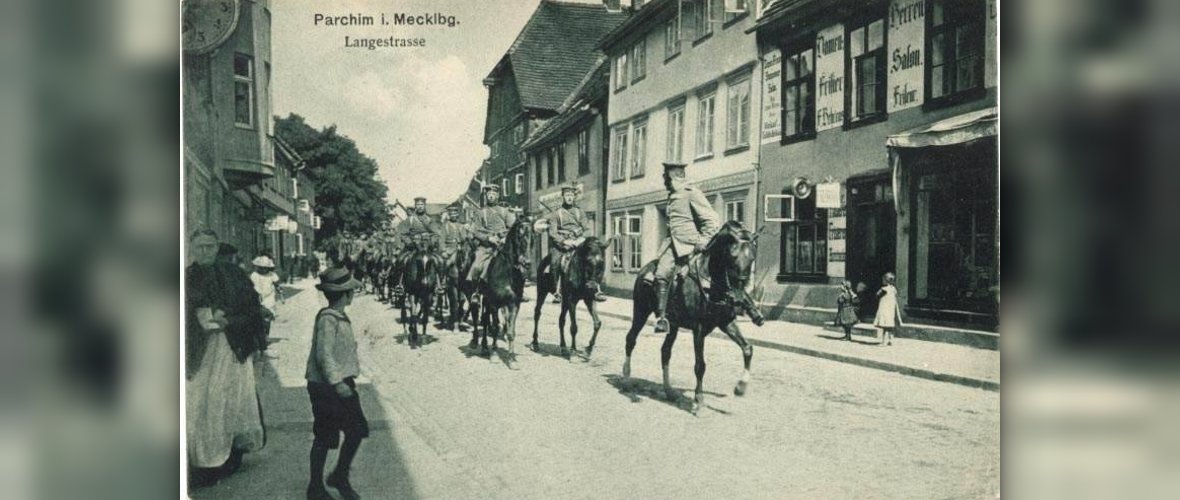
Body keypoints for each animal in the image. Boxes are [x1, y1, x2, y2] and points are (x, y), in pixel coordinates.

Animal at [474, 219, 535, 363]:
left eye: (533, 238)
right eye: (519, 236)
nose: (527, 262)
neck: (507, 273)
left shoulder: (514, 304)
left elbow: (511, 331)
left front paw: (512, 359)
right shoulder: (494, 304)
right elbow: (495, 328)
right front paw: (495, 354)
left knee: (486, 319)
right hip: (484, 299)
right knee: (484, 320)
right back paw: (482, 346)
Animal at [623, 220, 769, 415]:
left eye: (752, 258)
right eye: (732, 256)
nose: (738, 297)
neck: (712, 284)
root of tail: (644, 269)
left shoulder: (727, 323)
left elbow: (747, 349)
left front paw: (741, 386)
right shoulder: (698, 329)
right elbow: (700, 365)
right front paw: (698, 401)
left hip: (673, 325)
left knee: (665, 351)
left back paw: (669, 391)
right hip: (640, 311)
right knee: (631, 339)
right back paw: (626, 378)